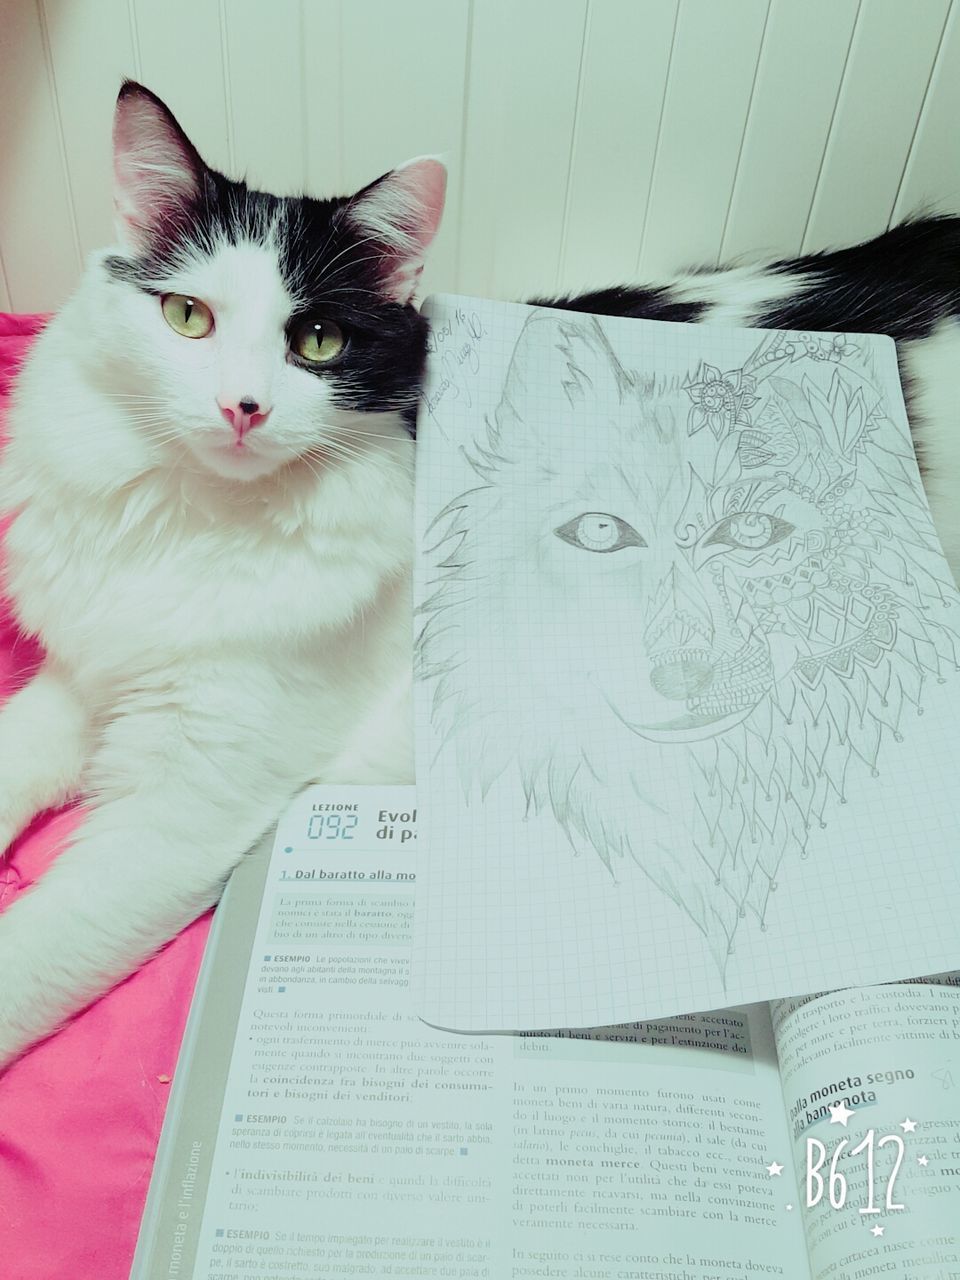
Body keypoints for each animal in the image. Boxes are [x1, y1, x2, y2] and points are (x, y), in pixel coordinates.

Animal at [0, 74, 957, 1064]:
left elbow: (33, 951)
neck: (196, 522)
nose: (242, 407)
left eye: (318, 341)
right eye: (188, 317)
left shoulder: (187, 804)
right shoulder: (84, 677)